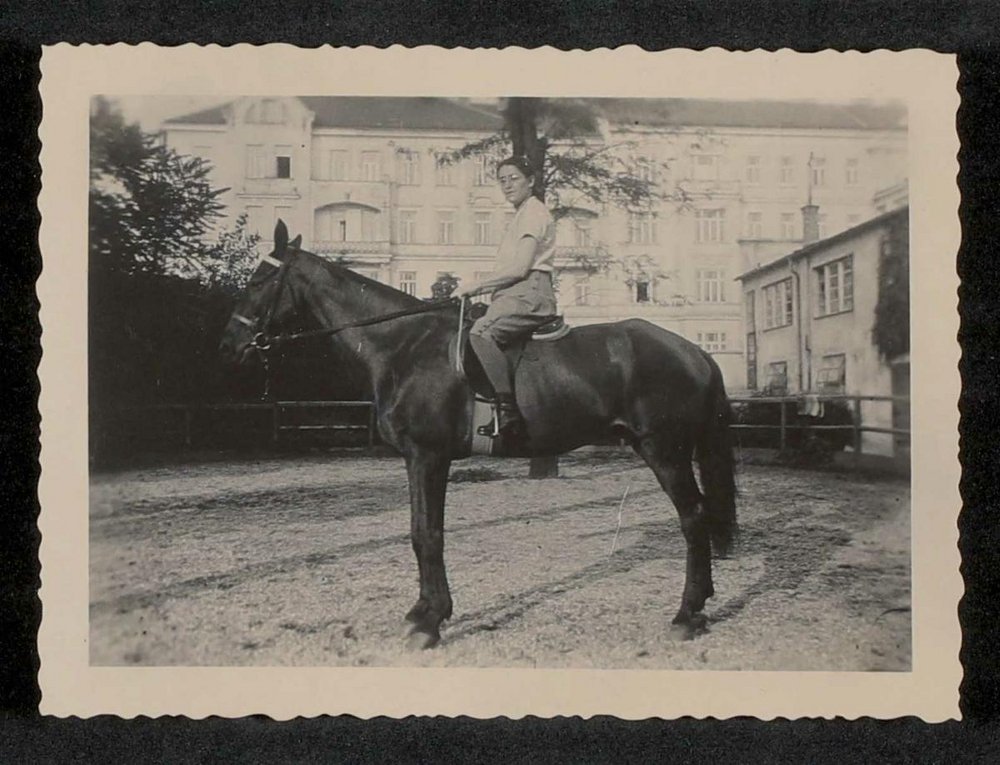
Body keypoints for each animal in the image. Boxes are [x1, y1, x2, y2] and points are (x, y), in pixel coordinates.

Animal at [218, 220, 737, 648]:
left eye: (259, 281)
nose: (230, 346)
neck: (405, 346)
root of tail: (695, 350)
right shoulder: (417, 459)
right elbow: (419, 530)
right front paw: (423, 611)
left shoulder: (428, 456)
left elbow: (429, 535)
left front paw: (431, 623)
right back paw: (701, 604)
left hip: (664, 450)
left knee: (693, 517)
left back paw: (687, 615)